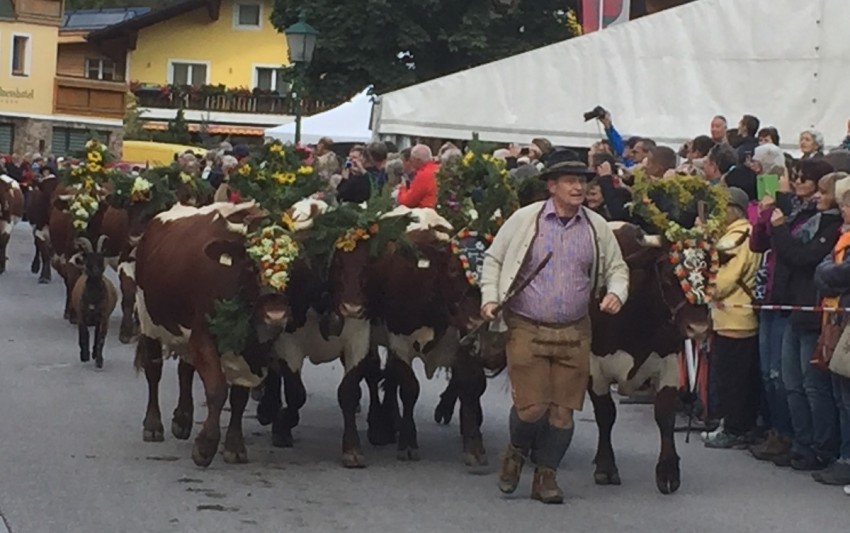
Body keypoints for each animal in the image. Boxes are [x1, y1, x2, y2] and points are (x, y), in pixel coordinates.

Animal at [71, 235, 117, 368]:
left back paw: (95, 354)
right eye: (89, 261)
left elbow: (100, 338)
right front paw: (85, 356)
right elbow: (84, 334)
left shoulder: (104, 318)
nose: (96, 272)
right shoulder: (81, 316)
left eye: (101, 260)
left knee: (97, 335)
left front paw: (99, 361)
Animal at [134, 201, 290, 466]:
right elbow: (217, 389)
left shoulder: (252, 352)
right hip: (149, 320)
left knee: (185, 368)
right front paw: (205, 446)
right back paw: (153, 425)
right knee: (153, 371)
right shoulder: (203, 337)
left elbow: (239, 397)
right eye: (251, 264)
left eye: (295, 266)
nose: (276, 316)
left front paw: (234, 446)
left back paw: (182, 419)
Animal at [588, 221, 712, 494]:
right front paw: (605, 466)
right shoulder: (594, 368)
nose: (698, 328)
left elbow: (664, 415)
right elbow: (605, 414)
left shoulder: (669, 363)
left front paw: (668, 471)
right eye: (666, 278)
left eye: (712, 276)